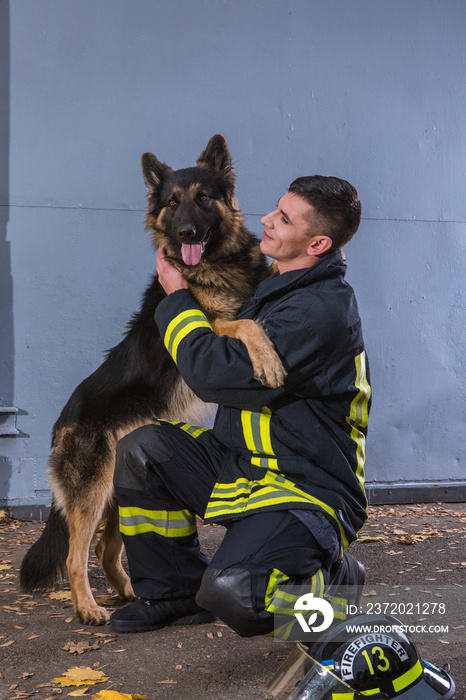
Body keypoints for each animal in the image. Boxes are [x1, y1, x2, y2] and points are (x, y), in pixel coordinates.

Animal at [20, 135, 286, 624]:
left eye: (203, 198)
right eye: (172, 203)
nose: (187, 234)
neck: (218, 263)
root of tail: (60, 424)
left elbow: (273, 273)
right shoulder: (212, 327)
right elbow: (247, 323)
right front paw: (269, 360)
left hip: (117, 495)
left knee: (105, 550)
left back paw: (129, 594)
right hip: (92, 497)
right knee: (75, 555)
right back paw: (88, 609)